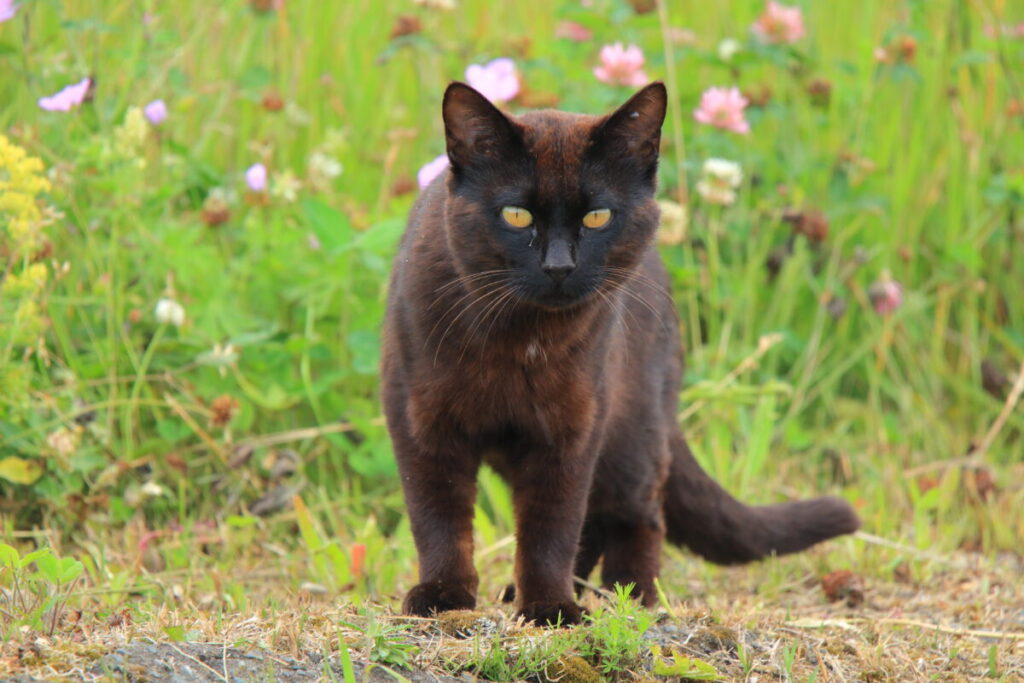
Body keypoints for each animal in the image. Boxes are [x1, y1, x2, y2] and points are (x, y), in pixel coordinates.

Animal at [380, 80, 860, 626]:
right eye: (516, 215)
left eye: (598, 217)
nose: (559, 266)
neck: (517, 341)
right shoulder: (421, 423)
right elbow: (438, 518)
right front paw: (443, 594)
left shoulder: (573, 427)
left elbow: (551, 526)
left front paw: (549, 606)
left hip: (632, 432)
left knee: (637, 515)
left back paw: (630, 596)